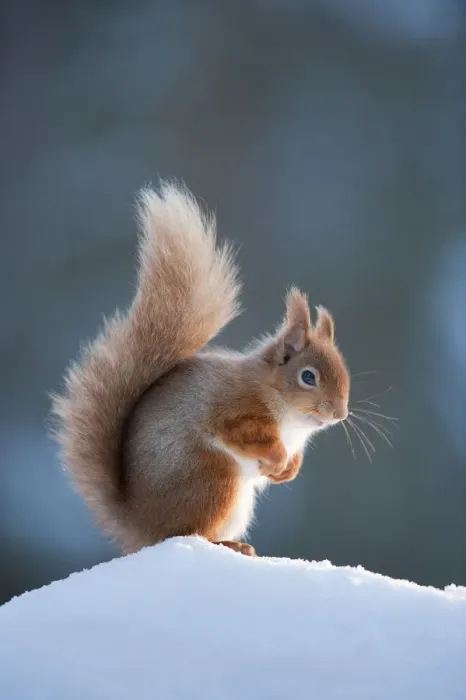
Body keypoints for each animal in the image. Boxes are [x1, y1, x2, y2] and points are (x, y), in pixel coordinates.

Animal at [52, 181, 350, 557]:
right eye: (308, 377)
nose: (340, 414)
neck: (290, 417)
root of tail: (141, 527)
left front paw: (288, 471)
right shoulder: (235, 410)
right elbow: (245, 434)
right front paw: (278, 458)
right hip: (213, 481)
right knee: (188, 532)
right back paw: (227, 544)